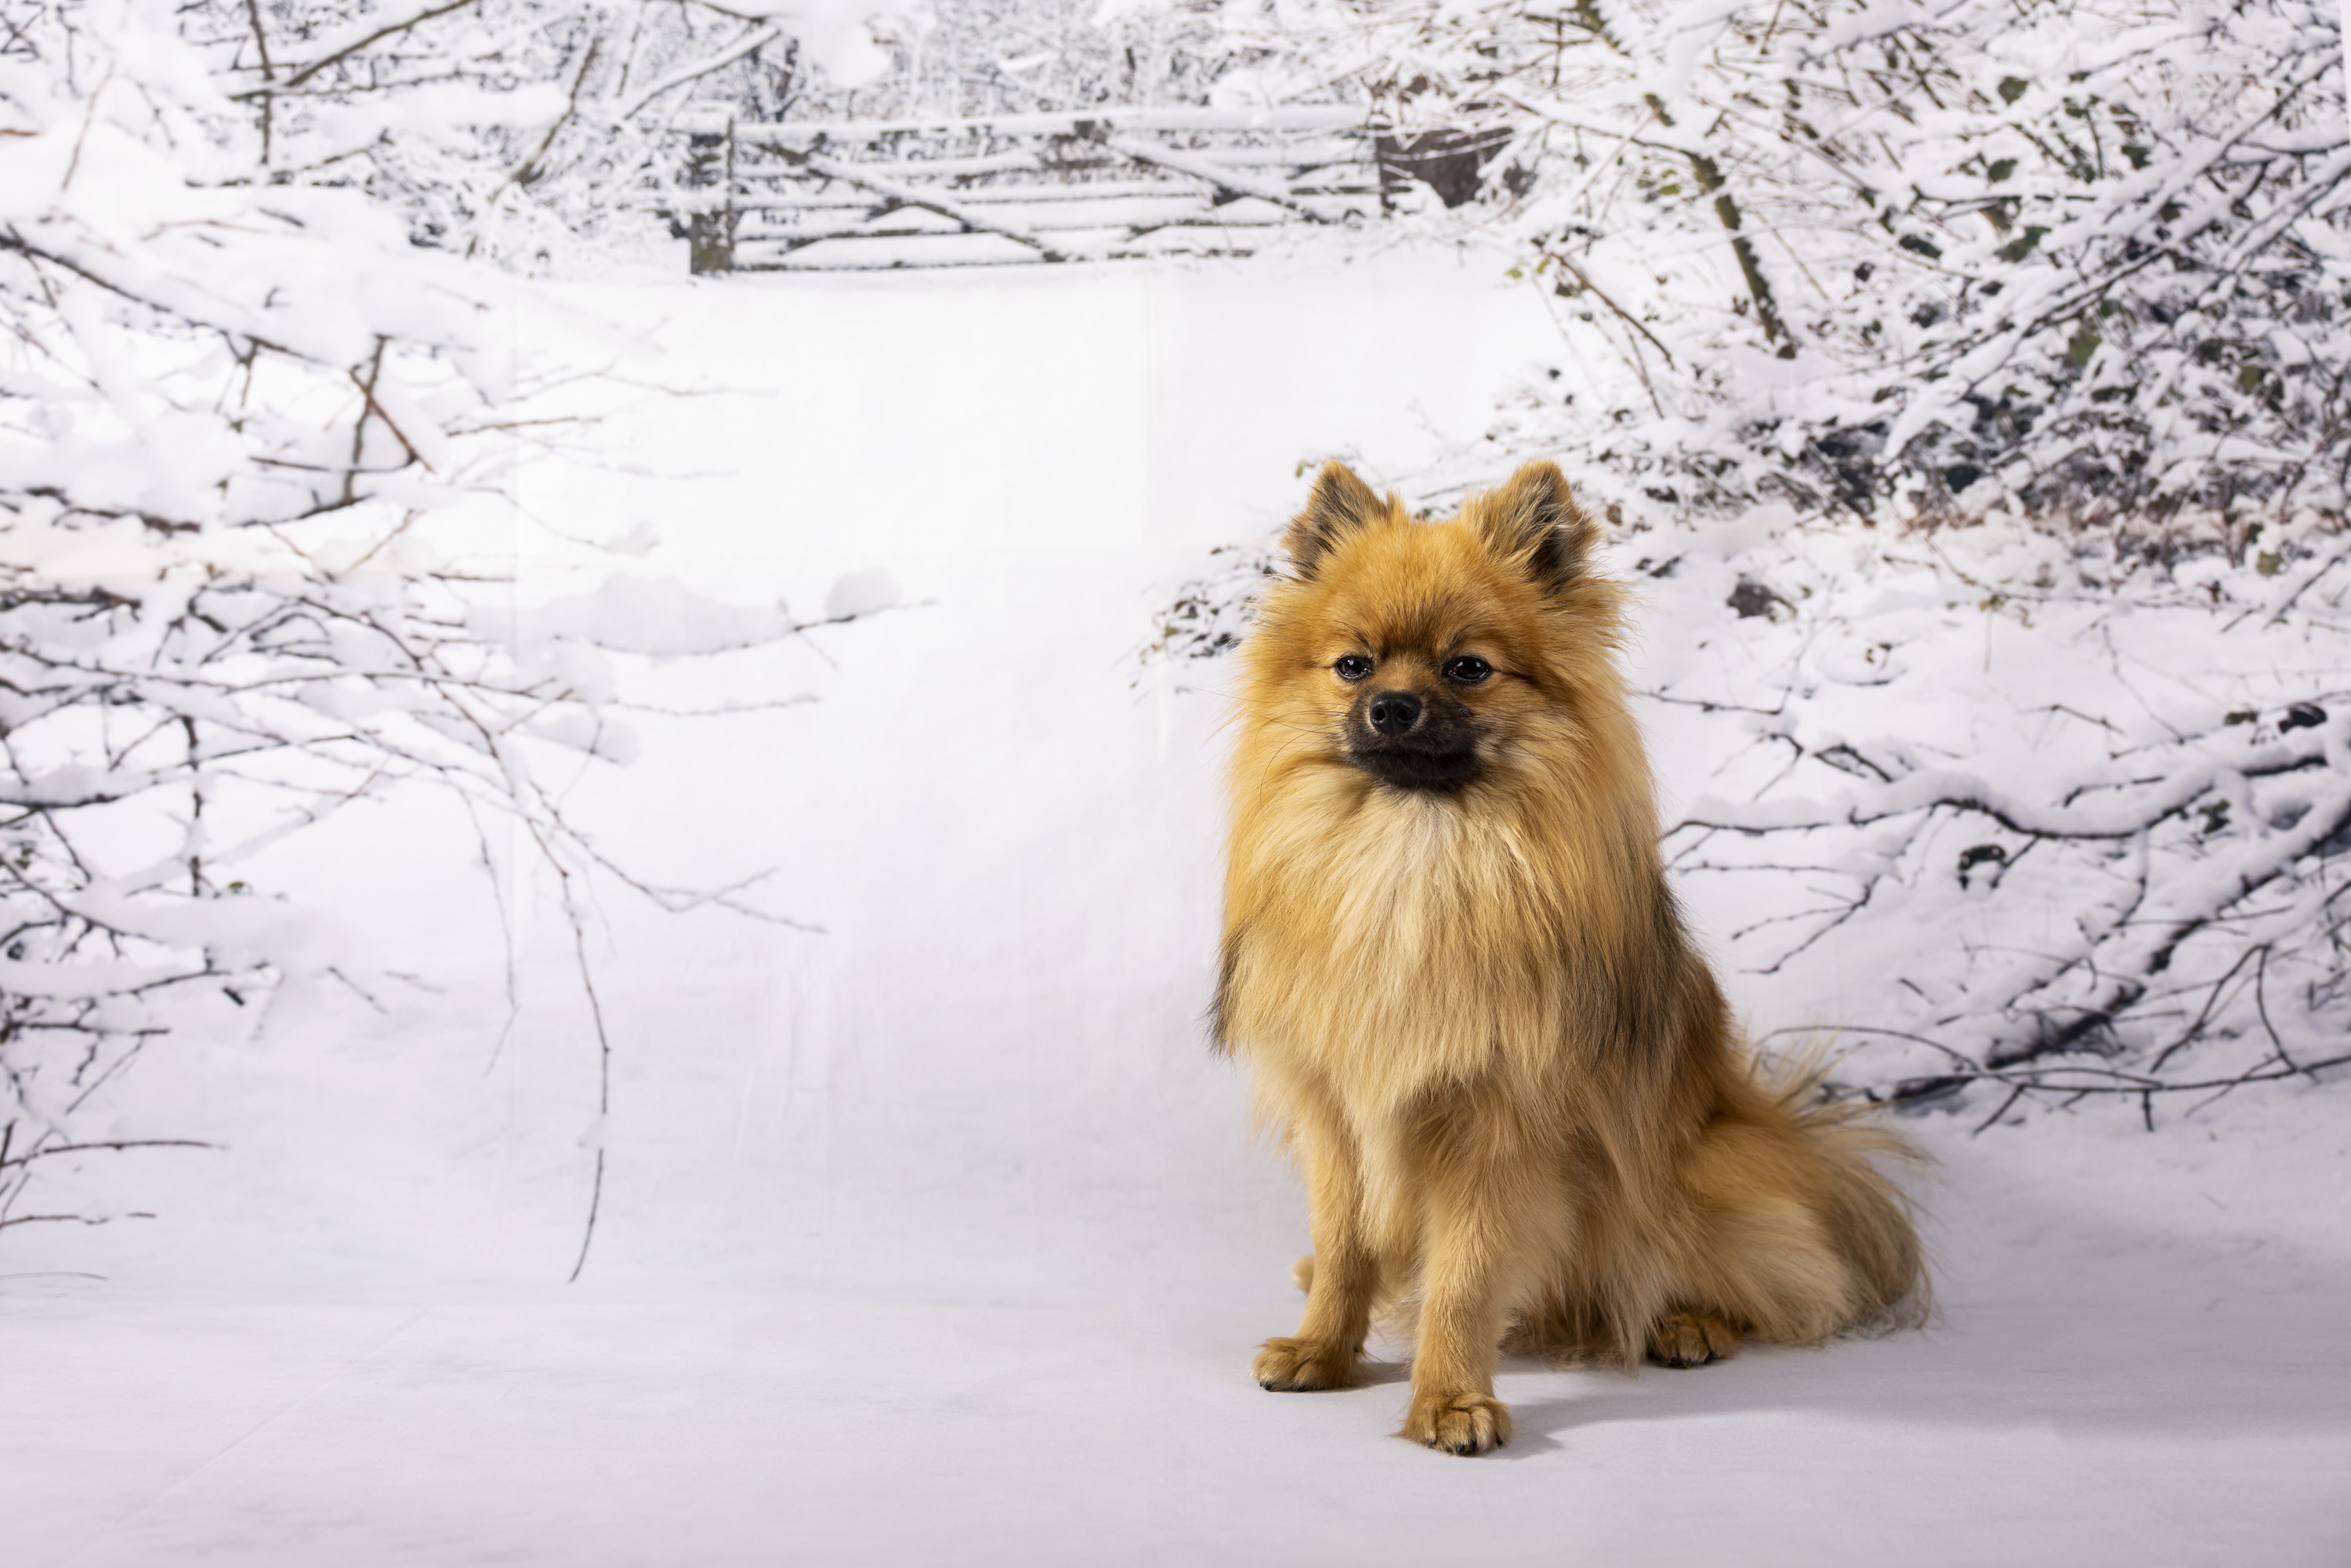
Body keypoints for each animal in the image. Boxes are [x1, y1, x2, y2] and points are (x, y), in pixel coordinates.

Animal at [1213, 456, 1928, 1458]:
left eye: (1467, 668)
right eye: (1353, 665)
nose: (1391, 706)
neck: (1417, 856)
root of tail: (1785, 1128)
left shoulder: (1495, 1123)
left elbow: (1464, 1282)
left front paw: (1450, 1400)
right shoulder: (1338, 1115)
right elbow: (1351, 1248)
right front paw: (1324, 1347)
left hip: (1702, 1172)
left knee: (1771, 1278)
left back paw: (1689, 1324)